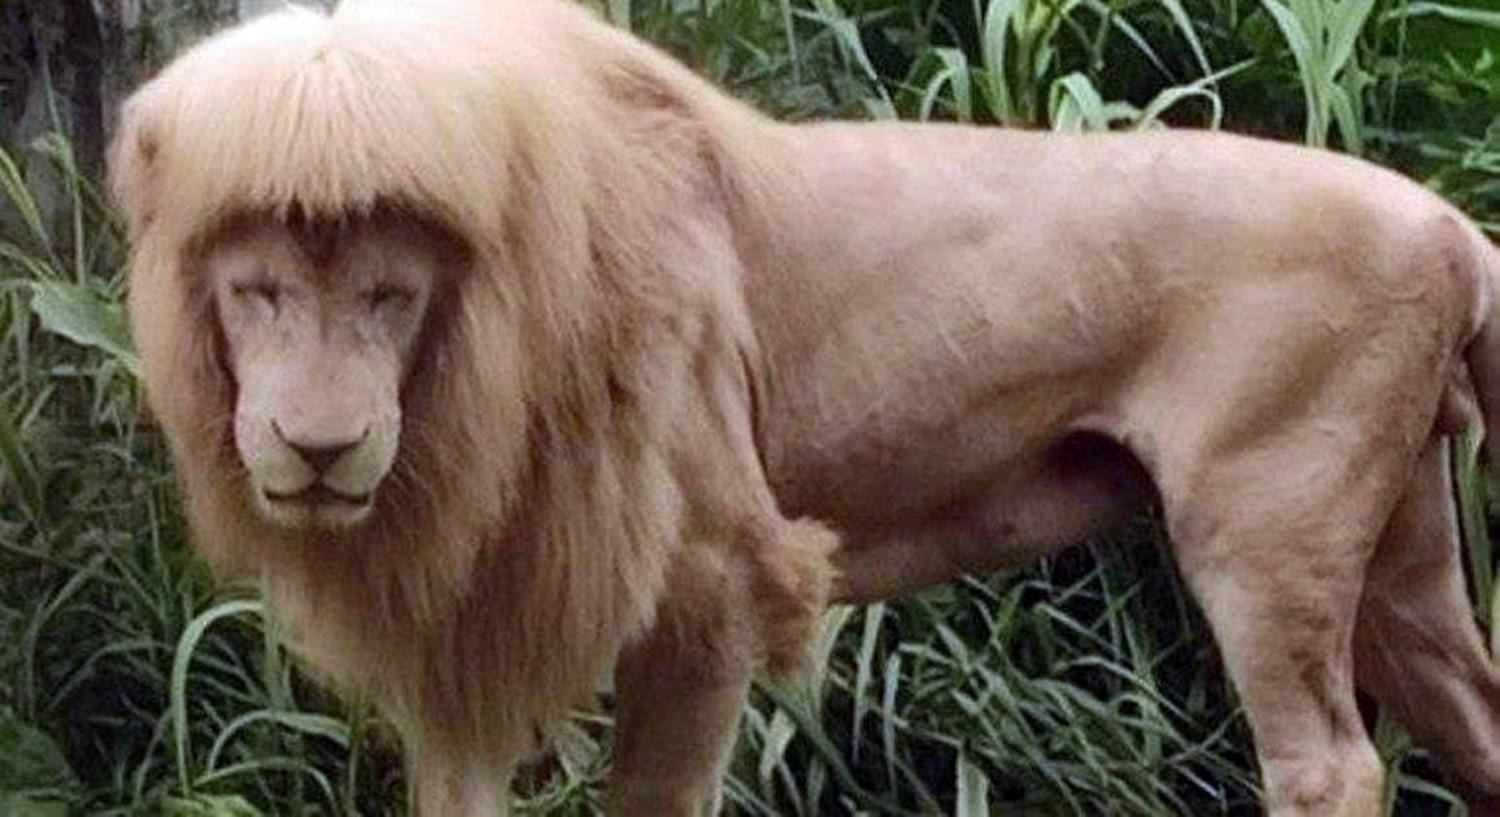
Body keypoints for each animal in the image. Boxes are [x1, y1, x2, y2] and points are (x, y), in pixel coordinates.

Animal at [110, 0, 1500, 815]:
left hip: (1264, 531)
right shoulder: (470, 622)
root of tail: (1449, 225)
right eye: (258, 293)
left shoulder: (715, 585)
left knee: (1329, 763)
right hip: (1401, 560)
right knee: (1476, 719)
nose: (319, 447)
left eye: (392, 295)